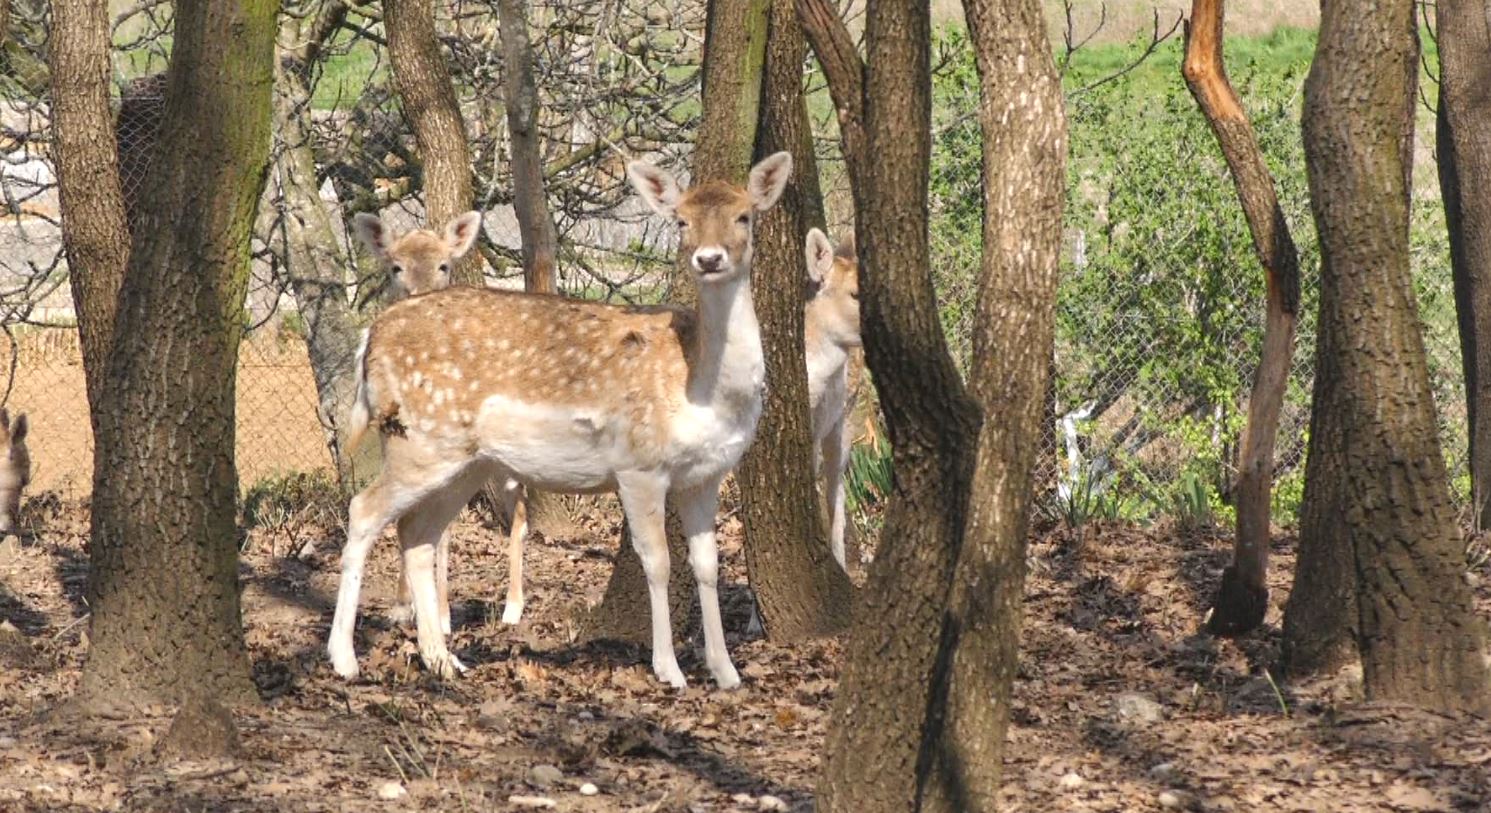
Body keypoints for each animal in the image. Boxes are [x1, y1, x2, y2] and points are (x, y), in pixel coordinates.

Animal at [325, 150, 793, 686]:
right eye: (681, 220)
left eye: (744, 215)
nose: (709, 259)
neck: (700, 388)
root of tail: (370, 336)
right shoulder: (639, 465)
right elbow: (658, 562)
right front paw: (669, 670)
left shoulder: (706, 475)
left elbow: (707, 564)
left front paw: (726, 672)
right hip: (419, 439)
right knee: (363, 510)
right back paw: (344, 659)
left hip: (463, 462)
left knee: (417, 534)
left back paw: (443, 659)